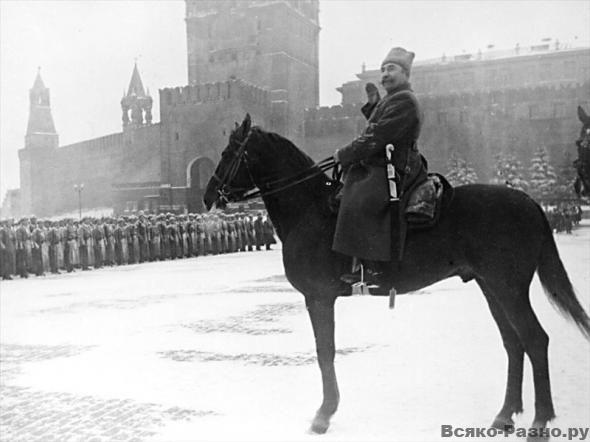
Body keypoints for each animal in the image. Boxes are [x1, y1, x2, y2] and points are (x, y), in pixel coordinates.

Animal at [205, 114, 590, 436]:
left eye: (228, 152)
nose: (208, 195)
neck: (310, 210)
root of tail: (529, 202)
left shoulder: (318, 297)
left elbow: (325, 351)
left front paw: (324, 414)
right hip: (491, 287)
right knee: (514, 343)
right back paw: (505, 415)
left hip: (508, 288)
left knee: (535, 340)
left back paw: (540, 420)